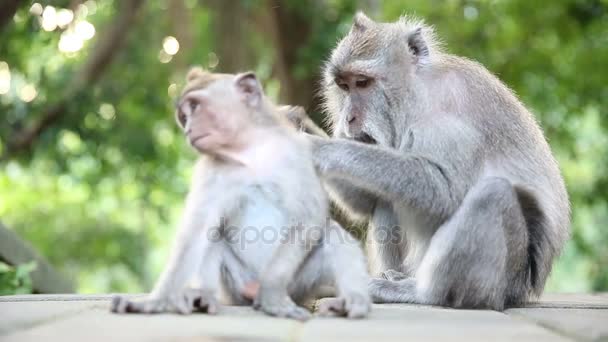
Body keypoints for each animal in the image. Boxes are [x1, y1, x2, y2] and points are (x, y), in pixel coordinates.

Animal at [113, 68, 370, 320]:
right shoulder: (210, 170)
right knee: (213, 235)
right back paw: (205, 295)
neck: (250, 151)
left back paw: (348, 301)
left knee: (334, 236)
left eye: (194, 107)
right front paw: (155, 300)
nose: (187, 129)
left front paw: (272, 295)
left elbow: (309, 216)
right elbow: (198, 230)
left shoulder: (300, 153)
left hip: (297, 284)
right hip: (236, 285)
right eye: (183, 117)